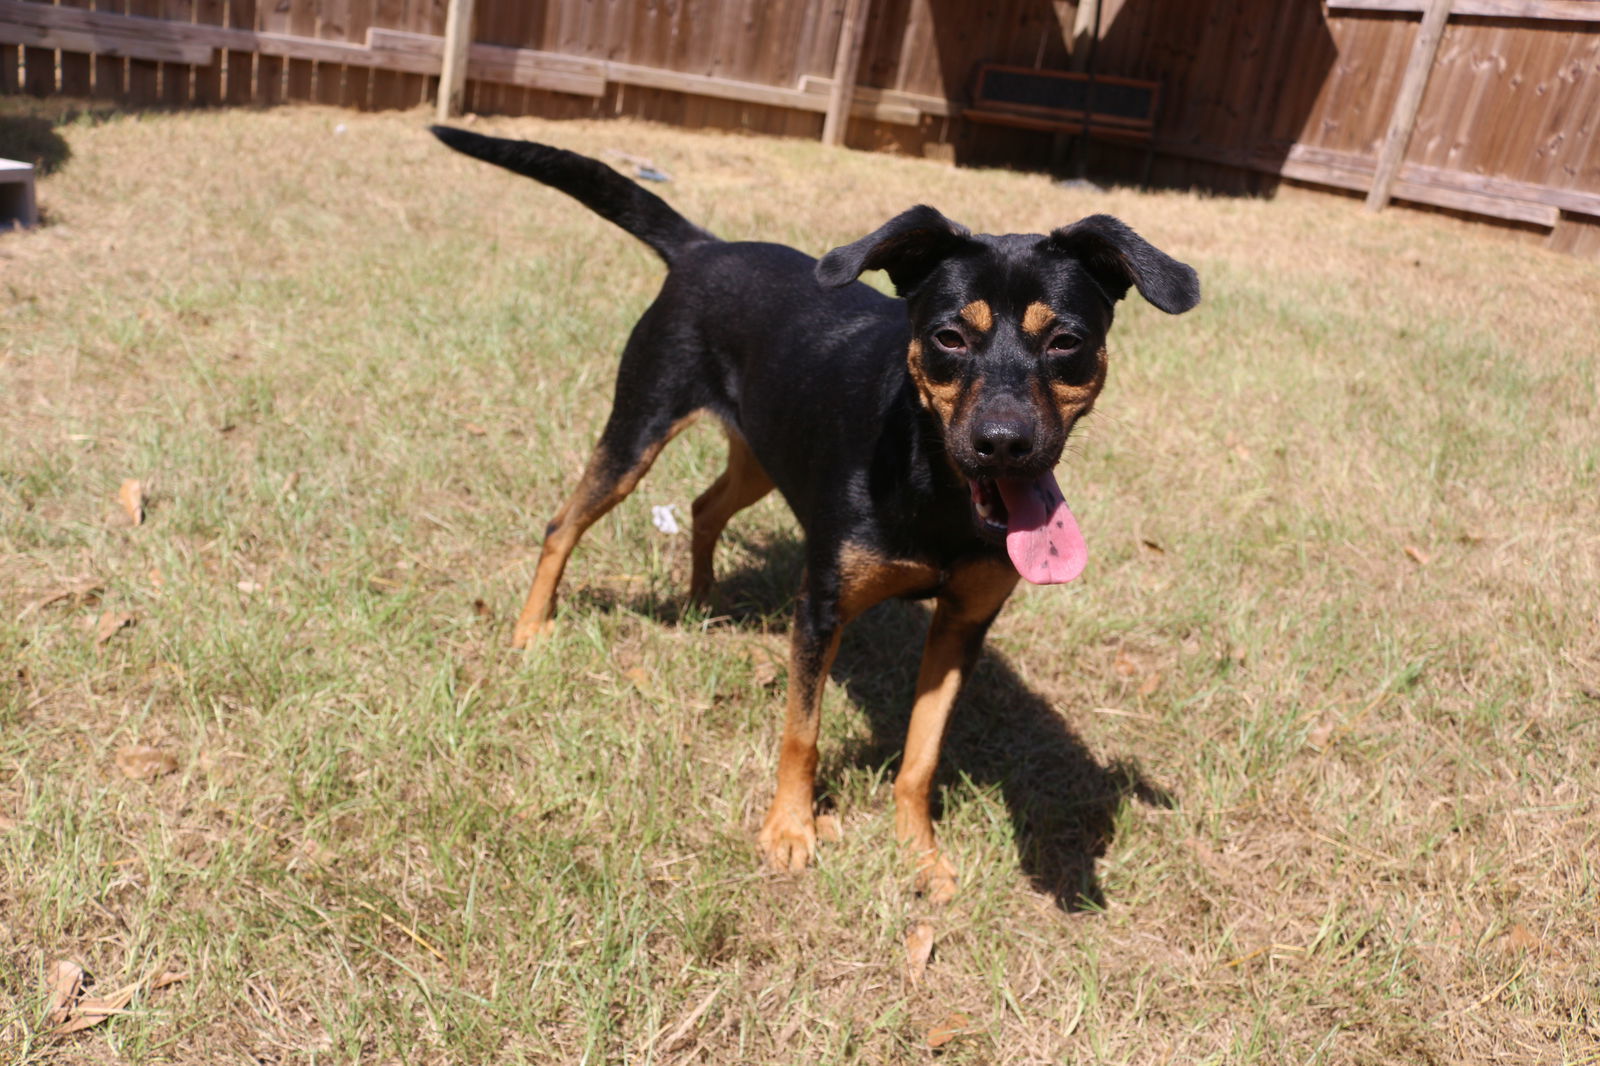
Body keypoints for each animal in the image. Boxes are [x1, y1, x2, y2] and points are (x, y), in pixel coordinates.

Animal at [432, 124, 1196, 896]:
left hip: (761, 455)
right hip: (638, 428)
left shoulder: (964, 624)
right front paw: (790, 830)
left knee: (705, 506)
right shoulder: (821, 606)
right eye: (949, 337)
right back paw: (532, 629)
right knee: (564, 523)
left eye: (1066, 340)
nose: (1005, 443)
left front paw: (917, 852)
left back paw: (703, 600)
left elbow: (920, 756)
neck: (935, 486)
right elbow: (802, 733)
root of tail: (705, 247)